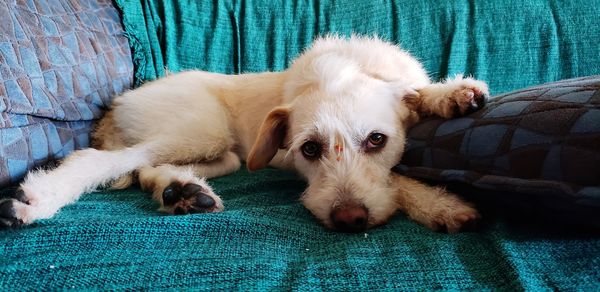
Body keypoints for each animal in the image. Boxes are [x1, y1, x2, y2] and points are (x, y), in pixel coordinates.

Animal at [0, 36, 488, 233]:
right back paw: (38, 199)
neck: (344, 68)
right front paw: (439, 203)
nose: (350, 220)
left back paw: (182, 191)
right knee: (110, 160)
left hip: (227, 154)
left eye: (376, 140)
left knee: (146, 168)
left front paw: (449, 95)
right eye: (309, 149)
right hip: (201, 130)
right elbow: (398, 181)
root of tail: (121, 102)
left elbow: (418, 96)